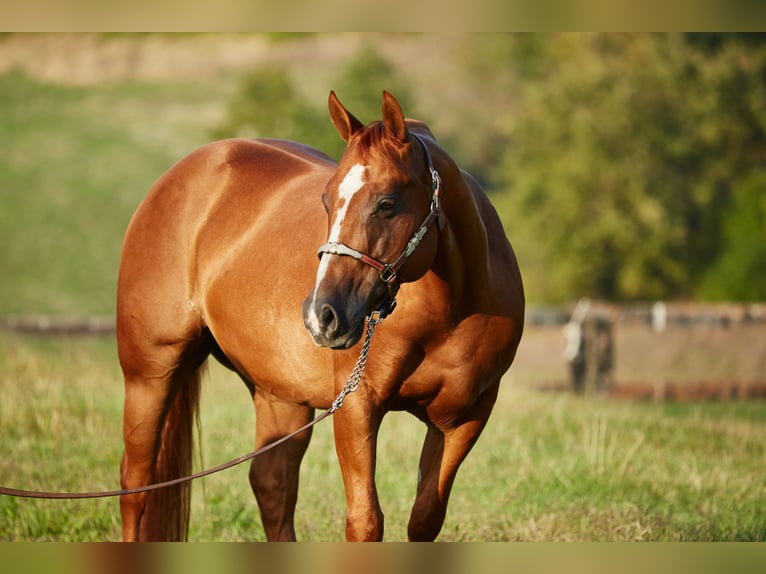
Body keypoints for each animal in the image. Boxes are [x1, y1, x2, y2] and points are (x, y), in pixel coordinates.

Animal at [117, 90, 524, 541]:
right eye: (327, 201)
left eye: (387, 203)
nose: (320, 316)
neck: (449, 311)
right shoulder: (356, 407)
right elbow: (365, 522)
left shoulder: (463, 418)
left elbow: (425, 519)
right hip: (150, 374)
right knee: (136, 484)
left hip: (278, 394)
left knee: (272, 485)